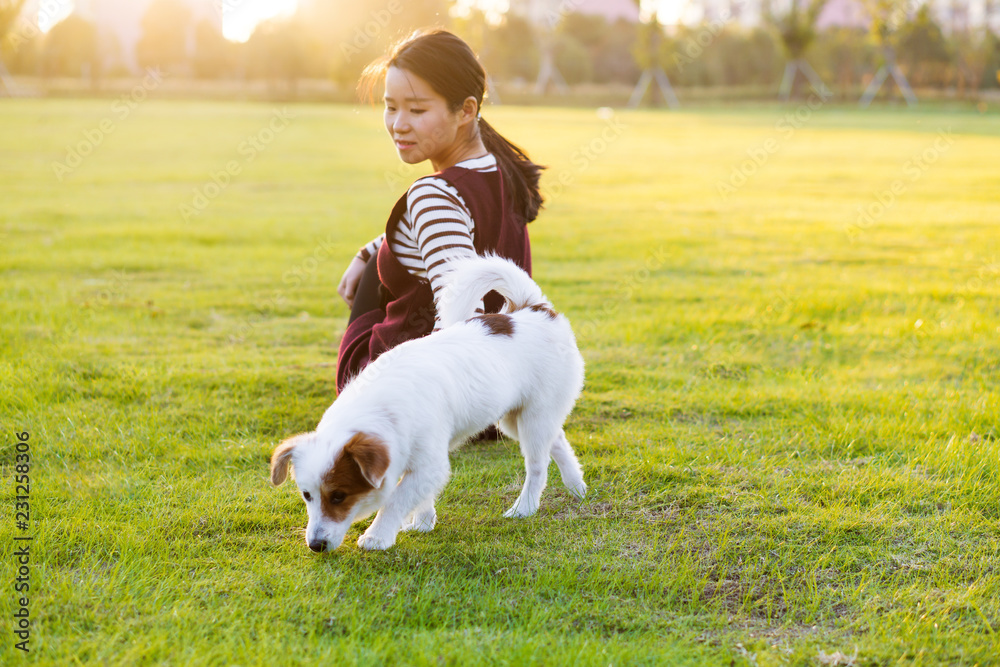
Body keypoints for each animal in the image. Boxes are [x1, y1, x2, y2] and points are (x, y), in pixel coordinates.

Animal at [270, 256, 588, 552]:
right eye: (306, 495)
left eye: (339, 496)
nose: (315, 545)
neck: (380, 408)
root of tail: (531, 308)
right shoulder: (417, 460)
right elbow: (419, 495)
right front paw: (422, 522)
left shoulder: (429, 464)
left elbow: (396, 499)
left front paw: (377, 536)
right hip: (513, 418)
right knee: (557, 439)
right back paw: (576, 485)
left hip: (534, 416)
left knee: (538, 465)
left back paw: (524, 508)